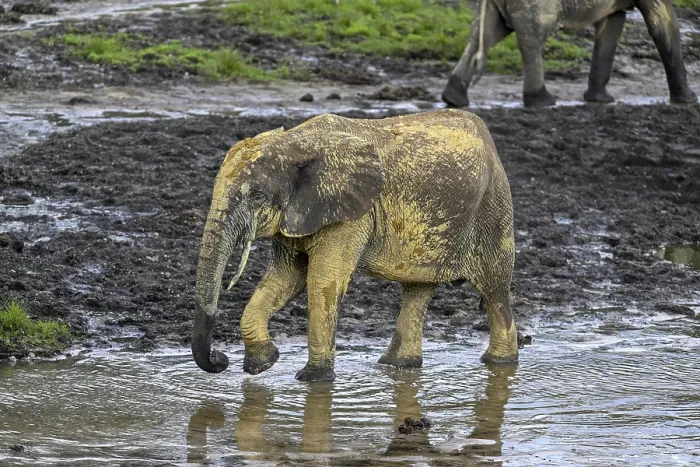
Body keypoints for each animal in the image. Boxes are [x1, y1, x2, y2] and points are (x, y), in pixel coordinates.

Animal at [191, 108, 517, 382]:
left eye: (257, 196)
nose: (220, 358)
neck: (295, 143)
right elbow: (285, 278)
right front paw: (263, 363)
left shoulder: (353, 212)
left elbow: (321, 281)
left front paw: (313, 380)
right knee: (418, 289)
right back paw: (397, 365)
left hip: (493, 206)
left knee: (494, 288)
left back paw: (498, 363)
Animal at [441, 0, 698, 108]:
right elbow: (662, 22)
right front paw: (689, 100)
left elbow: (611, 25)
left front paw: (600, 99)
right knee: (532, 37)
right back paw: (542, 101)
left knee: (484, 36)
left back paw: (453, 99)